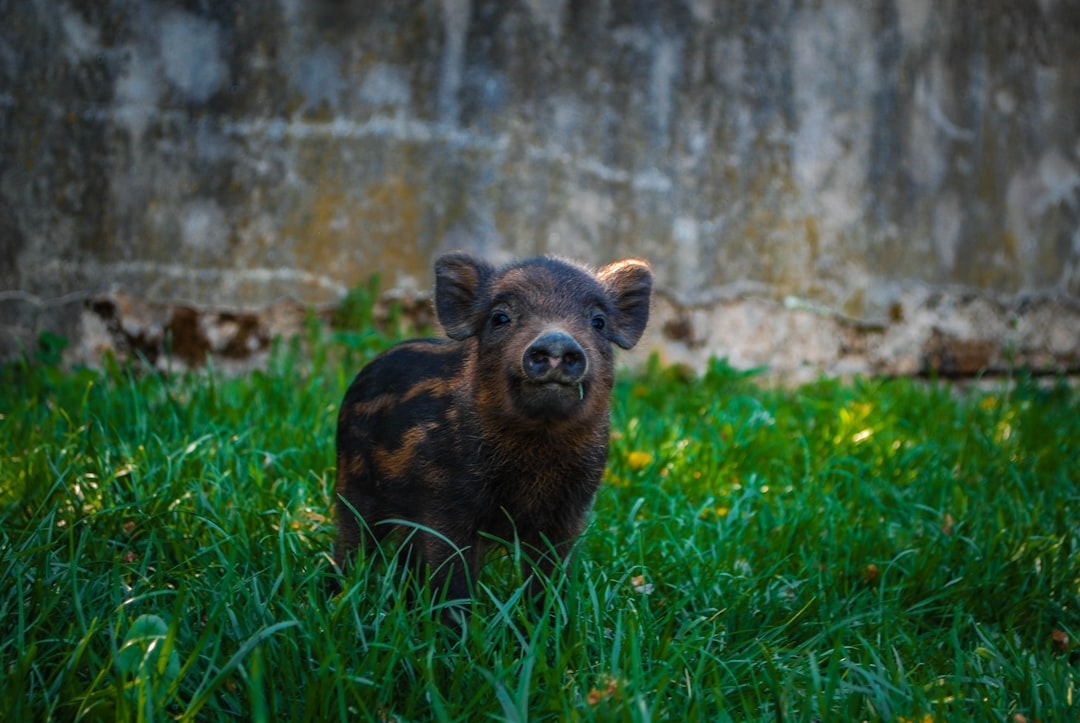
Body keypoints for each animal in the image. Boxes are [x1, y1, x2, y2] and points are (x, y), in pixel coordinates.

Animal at [334, 251, 652, 605]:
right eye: (500, 317)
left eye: (598, 322)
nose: (556, 342)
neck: (538, 447)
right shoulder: (444, 503)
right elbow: (453, 580)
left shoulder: (569, 511)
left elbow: (550, 578)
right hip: (353, 483)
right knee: (351, 543)